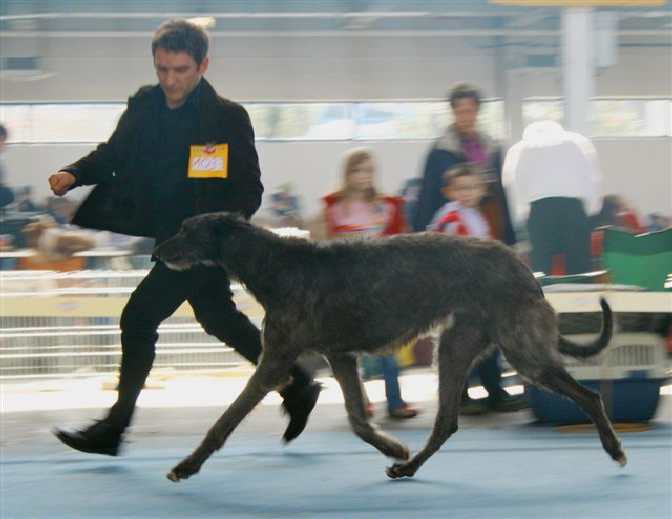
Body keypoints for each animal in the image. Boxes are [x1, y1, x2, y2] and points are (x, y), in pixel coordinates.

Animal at [154, 211, 624, 484]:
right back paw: (407, 465)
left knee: (590, 396)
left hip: (522, 352)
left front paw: (186, 466)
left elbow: (226, 419)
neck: (275, 264)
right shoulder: (340, 355)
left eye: (185, 229)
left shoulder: (276, 360)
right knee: (446, 422)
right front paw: (393, 446)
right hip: (455, 346)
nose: (156, 252)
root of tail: (526, 269)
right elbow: (357, 418)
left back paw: (615, 450)